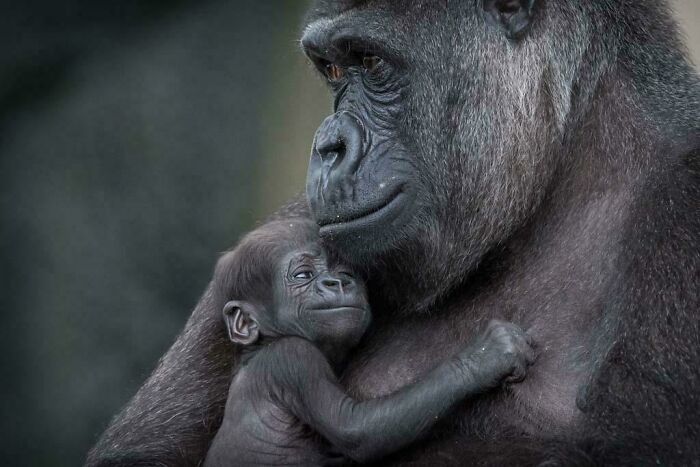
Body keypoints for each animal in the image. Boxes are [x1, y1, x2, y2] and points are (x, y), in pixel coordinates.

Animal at [205, 220, 532, 467]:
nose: (336, 283)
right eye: (303, 275)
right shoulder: (294, 359)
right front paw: (485, 358)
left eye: (345, 273)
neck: (262, 345)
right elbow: (355, 428)